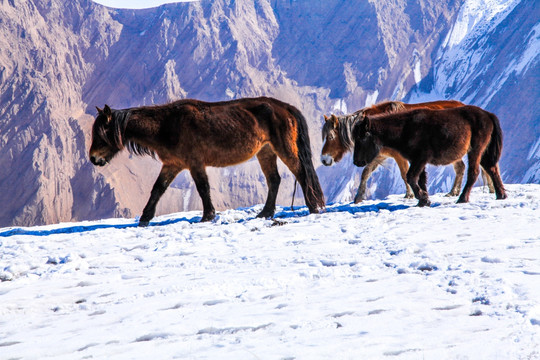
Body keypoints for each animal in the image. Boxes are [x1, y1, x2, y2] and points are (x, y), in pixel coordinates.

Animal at [89, 95, 324, 225]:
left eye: (101, 133)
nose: (93, 158)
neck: (167, 125)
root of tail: (285, 107)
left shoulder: (194, 164)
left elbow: (203, 188)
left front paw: (207, 216)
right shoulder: (172, 165)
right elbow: (157, 189)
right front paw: (144, 219)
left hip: (284, 149)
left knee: (301, 173)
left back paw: (313, 208)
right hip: (265, 152)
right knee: (274, 180)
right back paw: (264, 213)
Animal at [320, 100, 494, 204]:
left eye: (330, 137)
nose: (324, 160)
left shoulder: (399, 156)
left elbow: (404, 174)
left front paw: (410, 195)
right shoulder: (379, 155)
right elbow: (366, 173)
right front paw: (358, 197)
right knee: (461, 167)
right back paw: (454, 191)